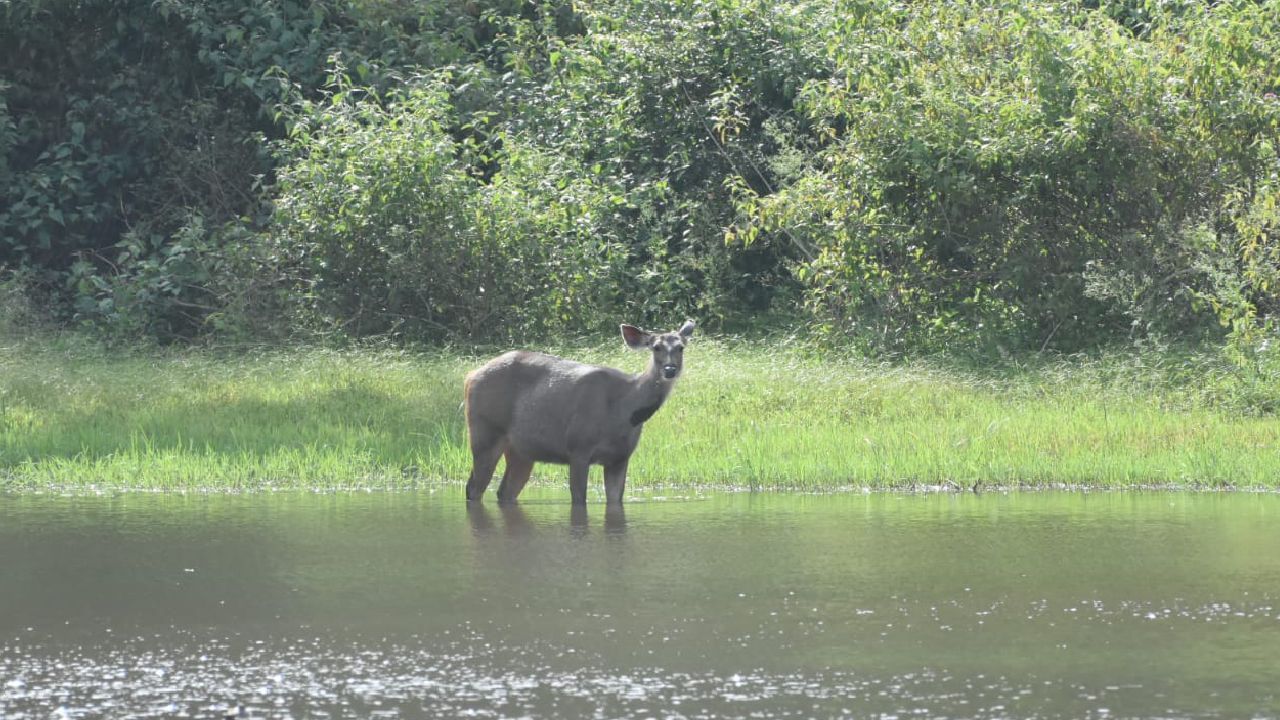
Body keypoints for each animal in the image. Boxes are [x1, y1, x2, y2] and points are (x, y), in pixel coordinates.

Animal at [465, 319, 696, 504]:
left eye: (681, 347)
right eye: (656, 347)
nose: (670, 369)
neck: (623, 412)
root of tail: (470, 376)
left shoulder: (621, 457)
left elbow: (615, 500)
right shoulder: (578, 448)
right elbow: (579, 499)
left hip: (521, 450)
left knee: (504, 491)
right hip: (485, 432)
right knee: (473, 488)